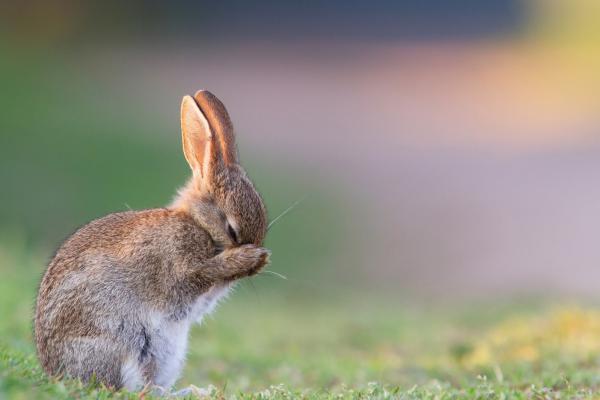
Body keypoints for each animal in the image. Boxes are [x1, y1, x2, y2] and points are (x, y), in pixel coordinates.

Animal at [32, 90, 268, 390]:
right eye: (232, 230)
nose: (257, 254)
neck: (197, 223)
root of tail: (56, 371)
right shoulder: (179, 267)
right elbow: (200, 274)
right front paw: (248, 258)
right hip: (121, 344)